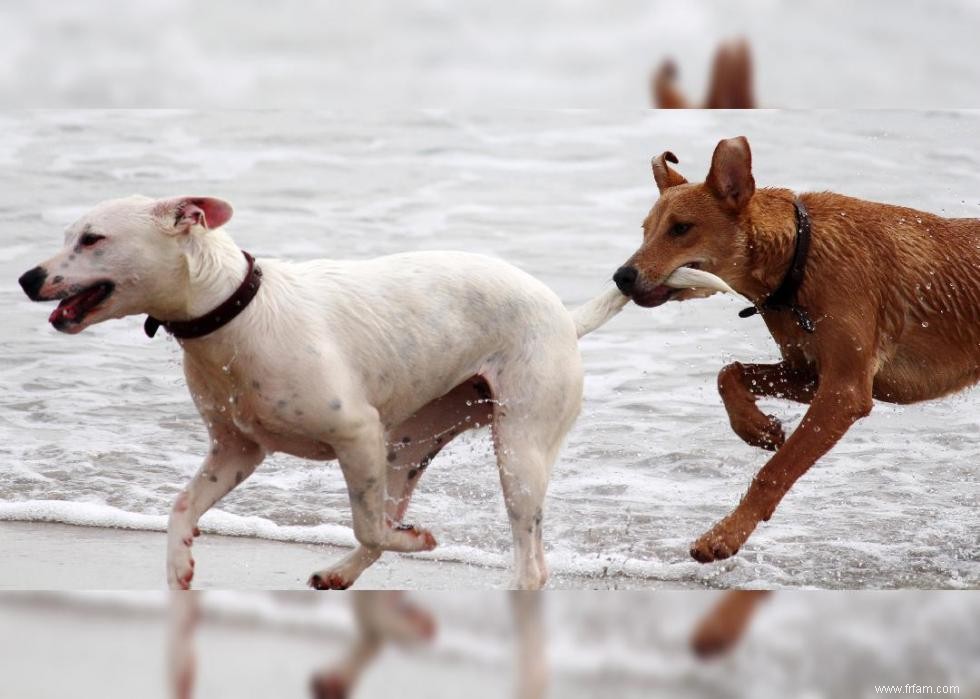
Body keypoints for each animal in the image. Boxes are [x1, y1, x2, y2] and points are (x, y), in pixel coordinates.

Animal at [19, 196, 732, 592]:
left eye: (92, 239)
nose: (26, 278)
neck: (236, 310)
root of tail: (562, 314)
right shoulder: (236, 452)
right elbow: (179, 509)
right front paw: (178, 568)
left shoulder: (354, 432)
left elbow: (368, 521)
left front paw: (419, 543)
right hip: (408, 444)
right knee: (385, 517)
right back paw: (340, 573)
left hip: (517, 449)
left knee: (525, 558)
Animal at [612, 137, 980, 564]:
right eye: (646, 230)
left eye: (681, 228)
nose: (621, 277)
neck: (799, 257)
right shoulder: (807, 372)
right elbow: (729, 373)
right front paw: (758, 427)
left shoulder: (845, 392)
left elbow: (776, 470)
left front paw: (725, 535)